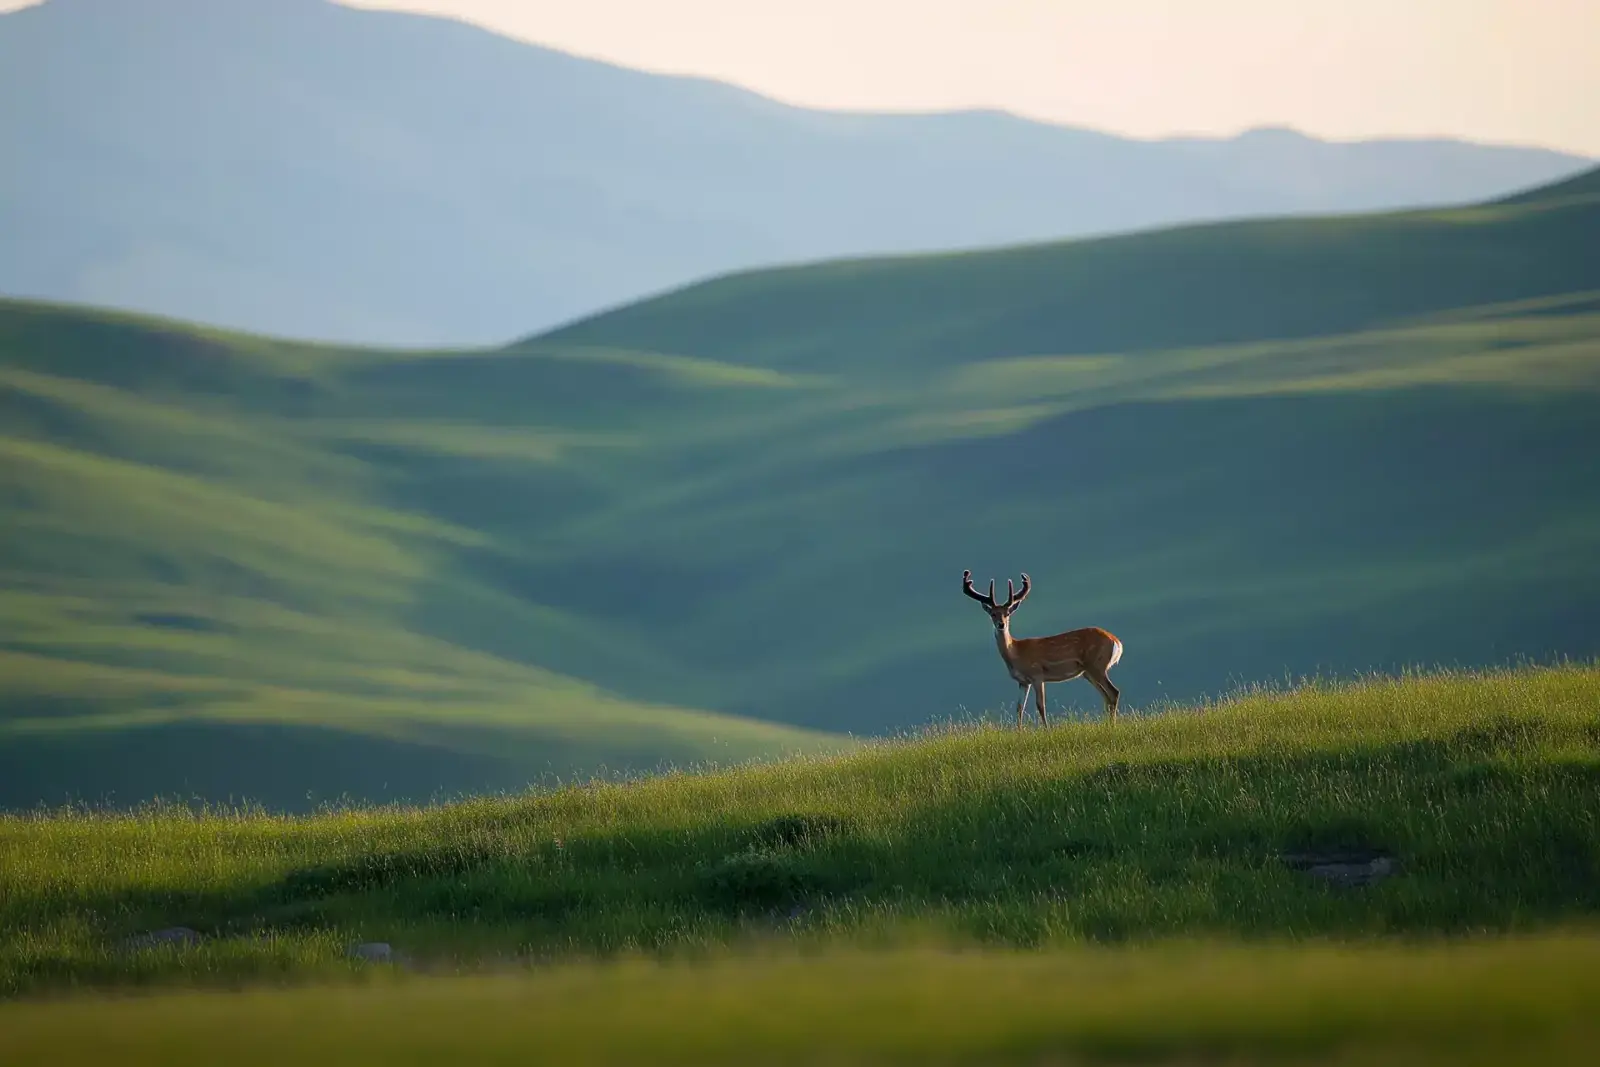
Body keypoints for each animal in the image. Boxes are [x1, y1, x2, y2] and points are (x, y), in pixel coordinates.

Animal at [962, 569, 1123, 727]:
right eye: (993, 614)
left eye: (1007, 613)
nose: (1001, 624)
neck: (1016, 653)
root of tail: (1116, 641)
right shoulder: (1023, 681)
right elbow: (1019, 708)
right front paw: (1019, 731)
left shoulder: (1037, 674)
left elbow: (1040, 706)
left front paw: (1047, 730)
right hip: (1088, 672)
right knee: (1106, 696)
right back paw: (1107, 724)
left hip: (1096, 664)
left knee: (1114, 692)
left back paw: (1112, 726)